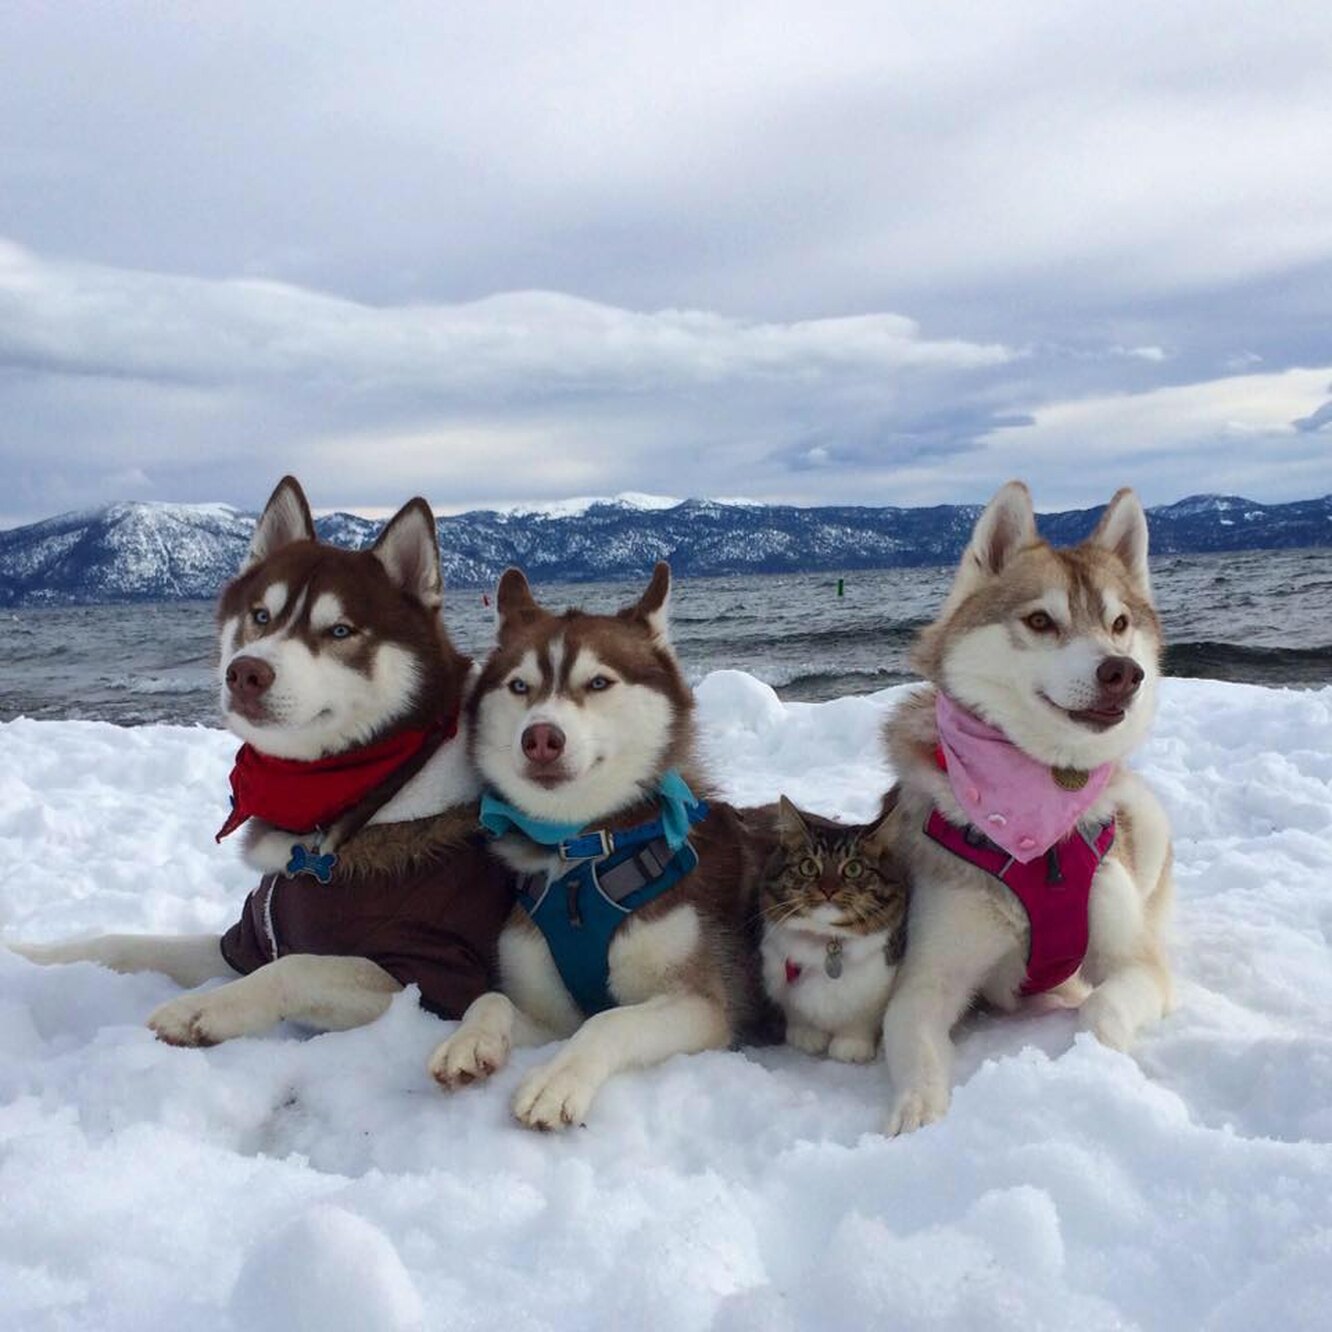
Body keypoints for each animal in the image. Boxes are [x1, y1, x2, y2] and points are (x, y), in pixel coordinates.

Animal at [756, 788, 911, 1060]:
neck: (825, 942)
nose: (828, 889)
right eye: (808, 866)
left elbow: (860, 1021)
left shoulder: (877, 985)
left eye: (854, 869)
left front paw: (851, 1049)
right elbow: (800, 1017)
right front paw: (806, 1037)